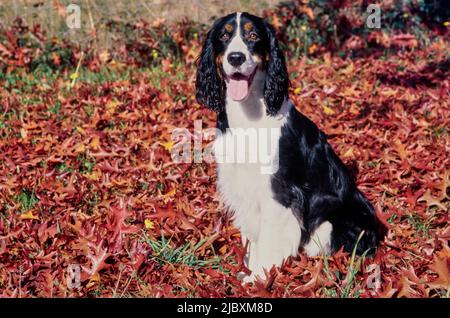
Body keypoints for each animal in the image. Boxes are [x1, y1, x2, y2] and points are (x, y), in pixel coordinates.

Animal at [195, 12, 382, 282]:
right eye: (224, 36)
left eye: (254, 35)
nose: (236, 57)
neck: (249, 114)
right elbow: (252, 240)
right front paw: (248, 271)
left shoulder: (279, 192)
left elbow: (269, 241)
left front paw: (259, 278)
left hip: (330, 226)